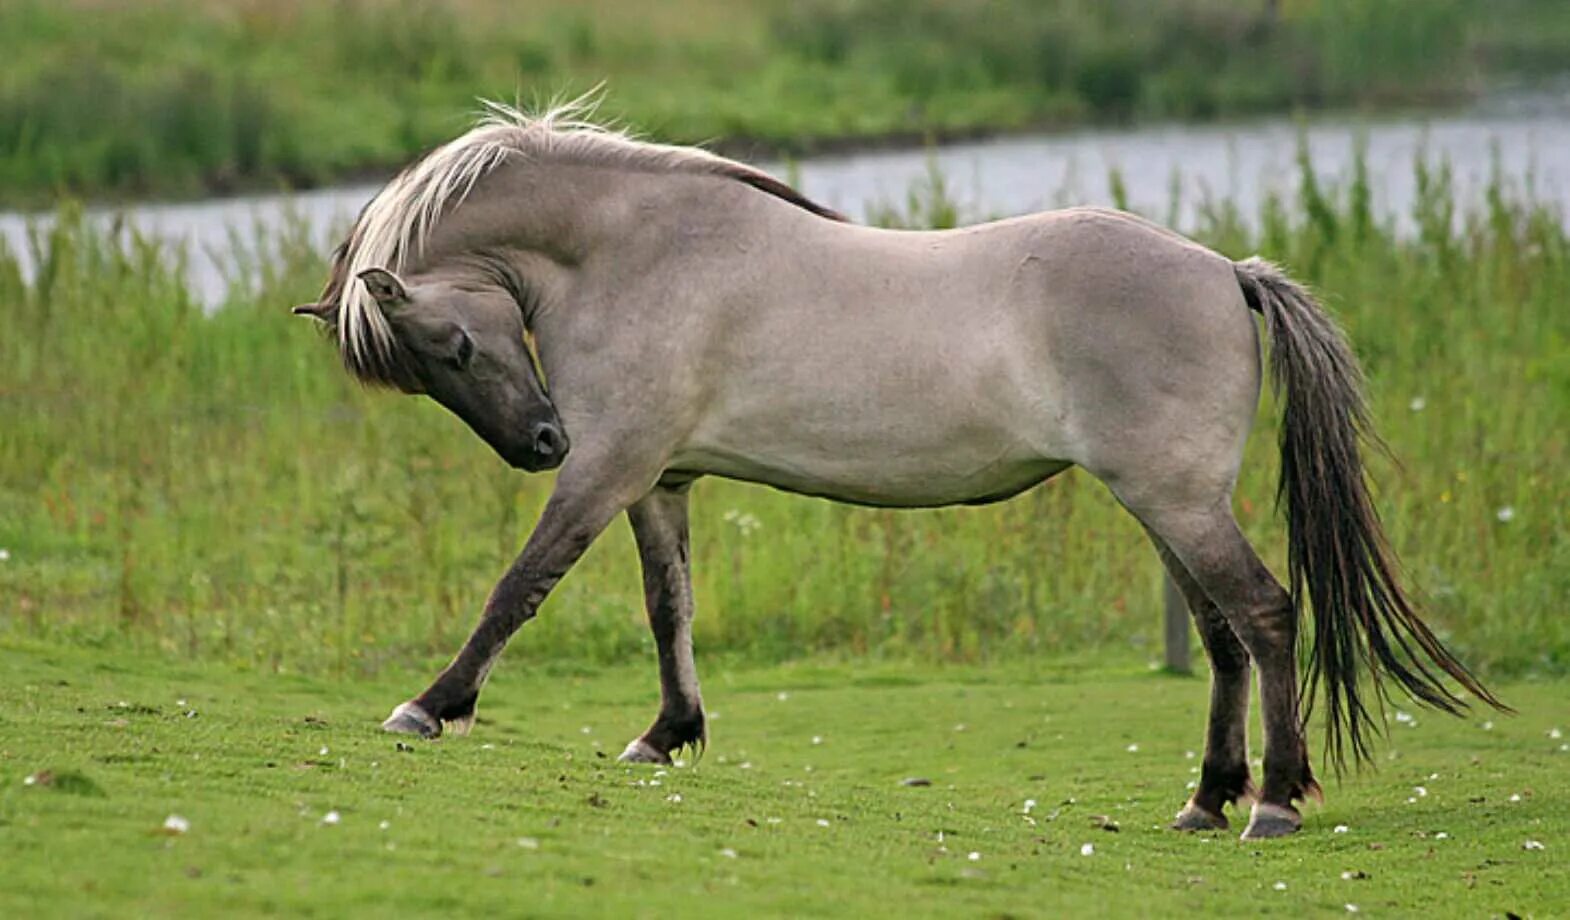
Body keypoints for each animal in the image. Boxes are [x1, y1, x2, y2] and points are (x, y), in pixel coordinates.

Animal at [288, 96, 1500, 835]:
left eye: (452, 344)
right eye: (432, 367)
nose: (541, 442)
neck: (640, 249)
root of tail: (1226, 272)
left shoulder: (609, 471)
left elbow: (520, 587)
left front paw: (431, 705)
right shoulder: (659, 481)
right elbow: (668, 608)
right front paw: (667, 733)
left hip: (1177, 502)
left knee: (1265, 614)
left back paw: (1274, 800)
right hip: (1164, 506)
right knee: (1221, 636)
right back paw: (1207, 797)